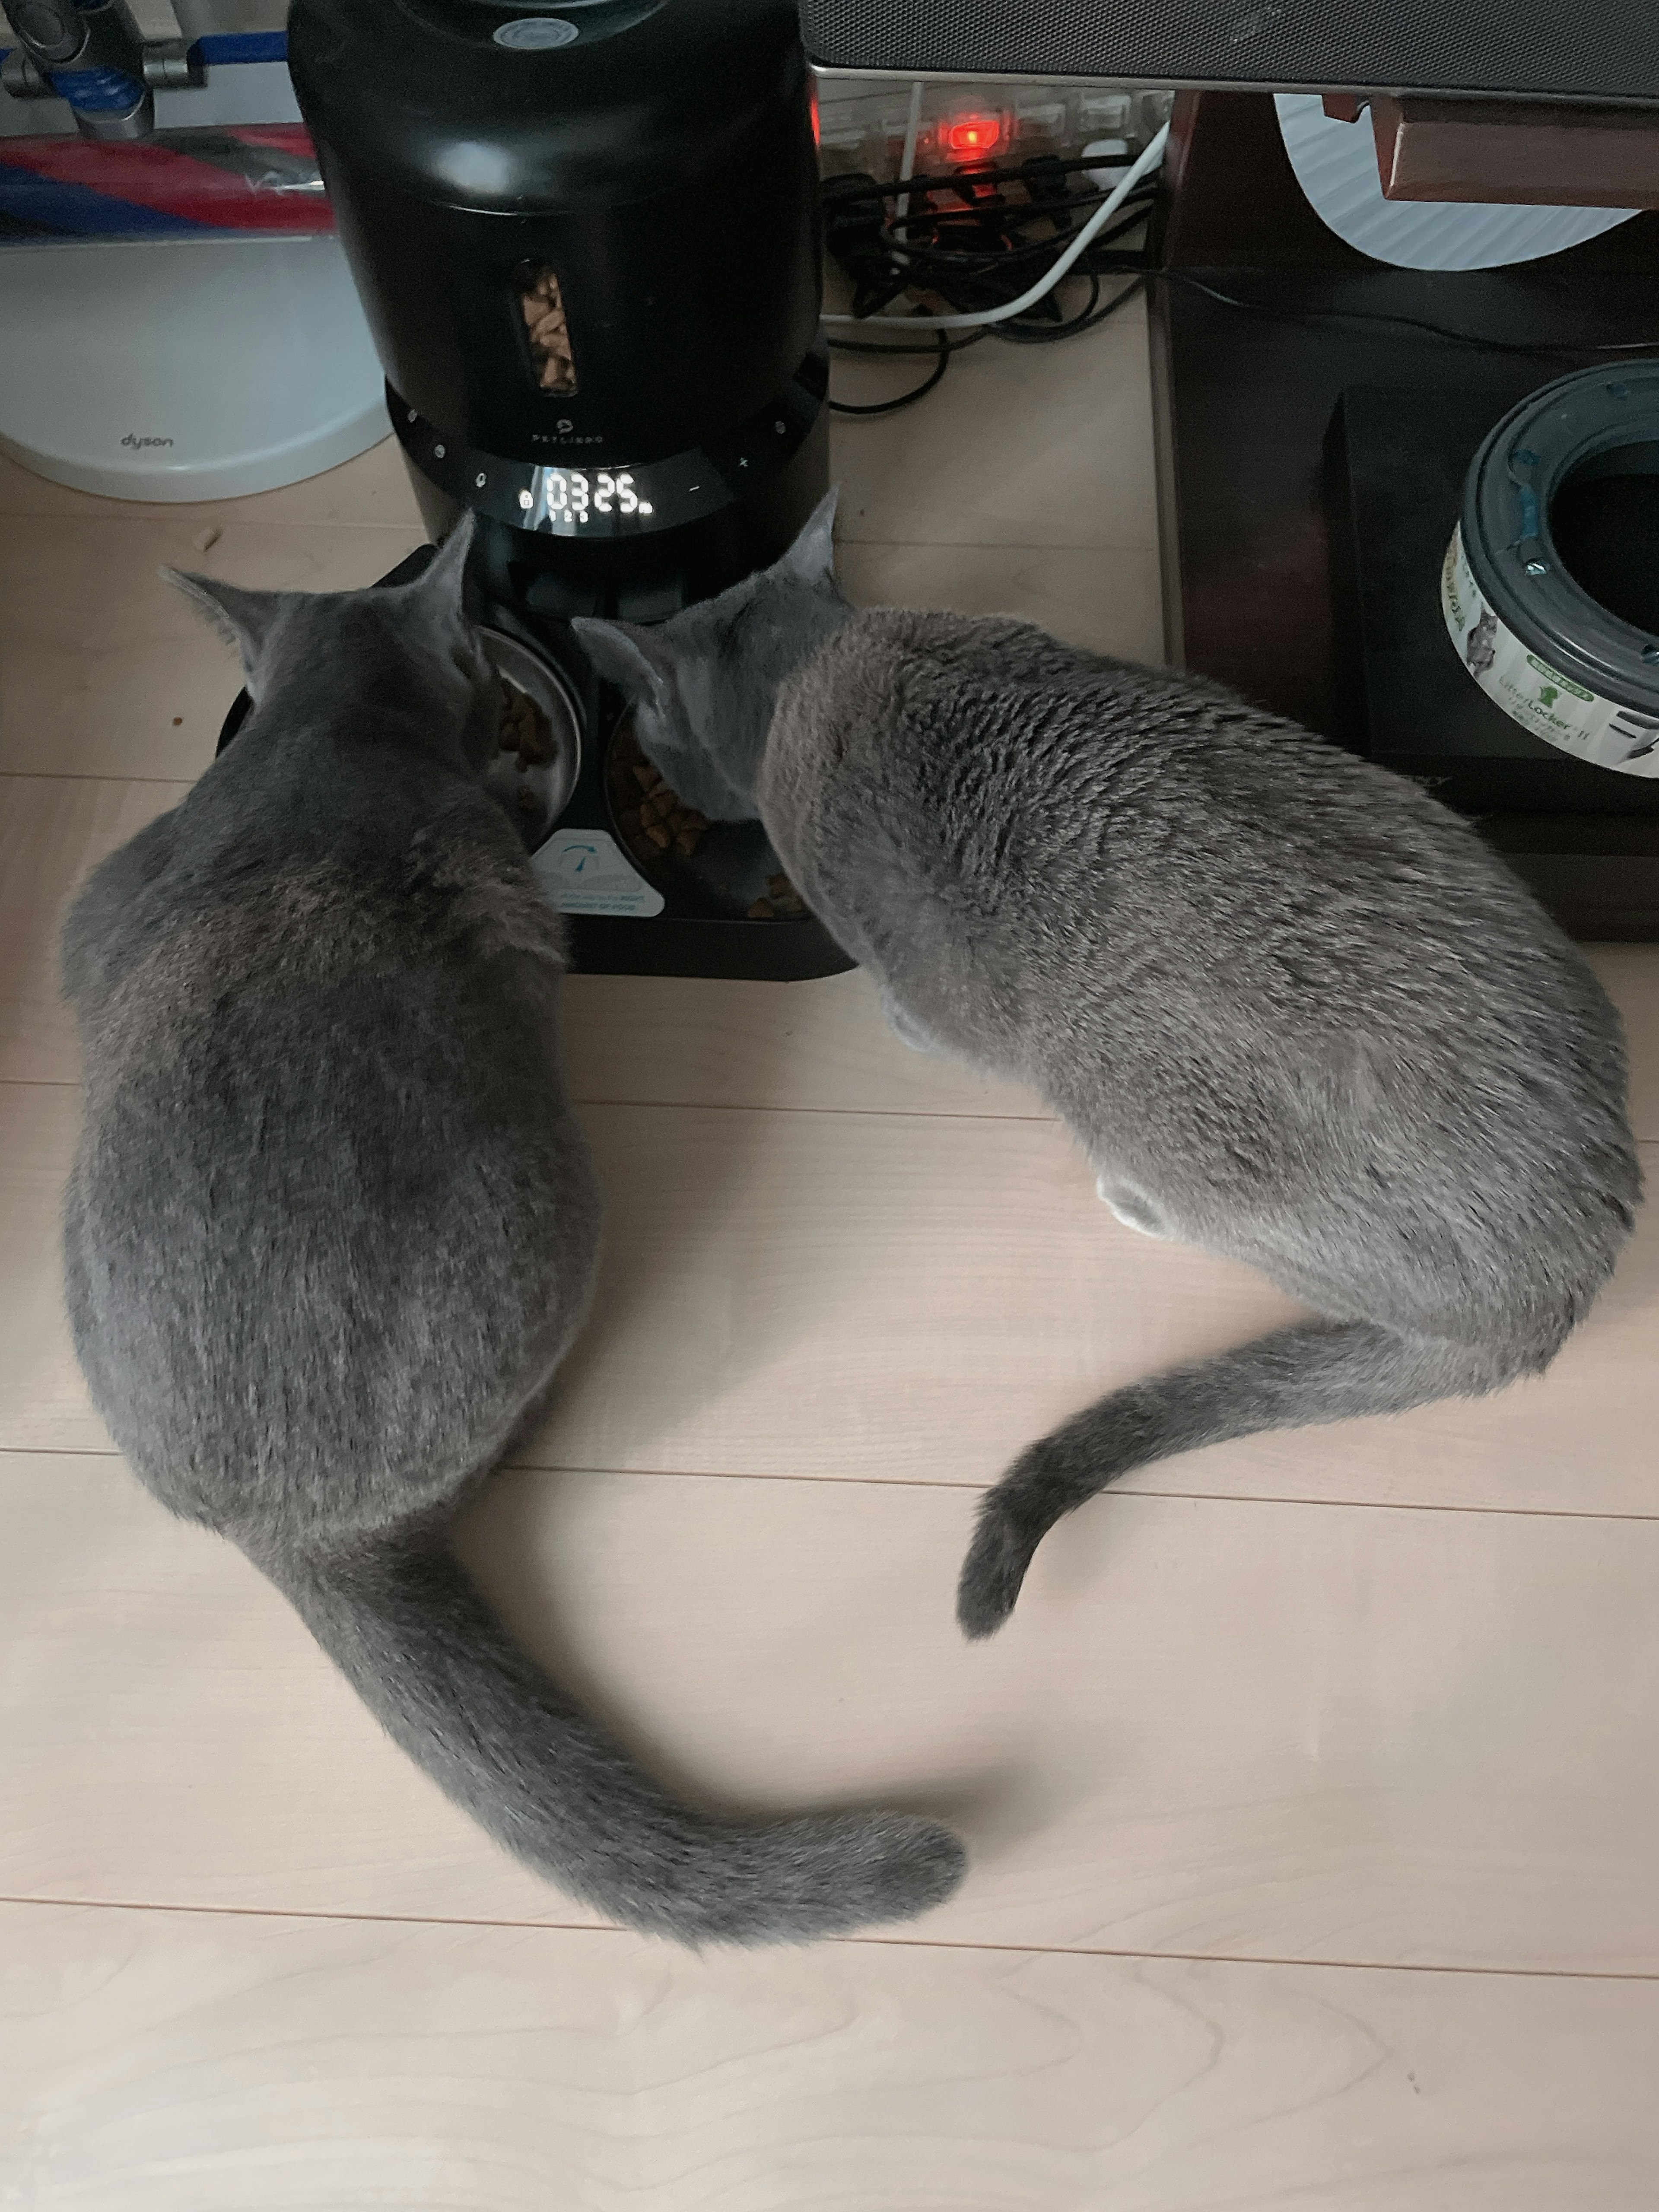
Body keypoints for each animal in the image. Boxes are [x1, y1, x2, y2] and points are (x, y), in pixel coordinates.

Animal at [579, 498, 1646, 1646]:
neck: (814, 668)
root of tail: (1570, 1280)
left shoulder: (923, 981)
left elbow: (918, 1013)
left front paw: (892, 1022)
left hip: (1142, 1099)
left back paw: (1130, 1201)